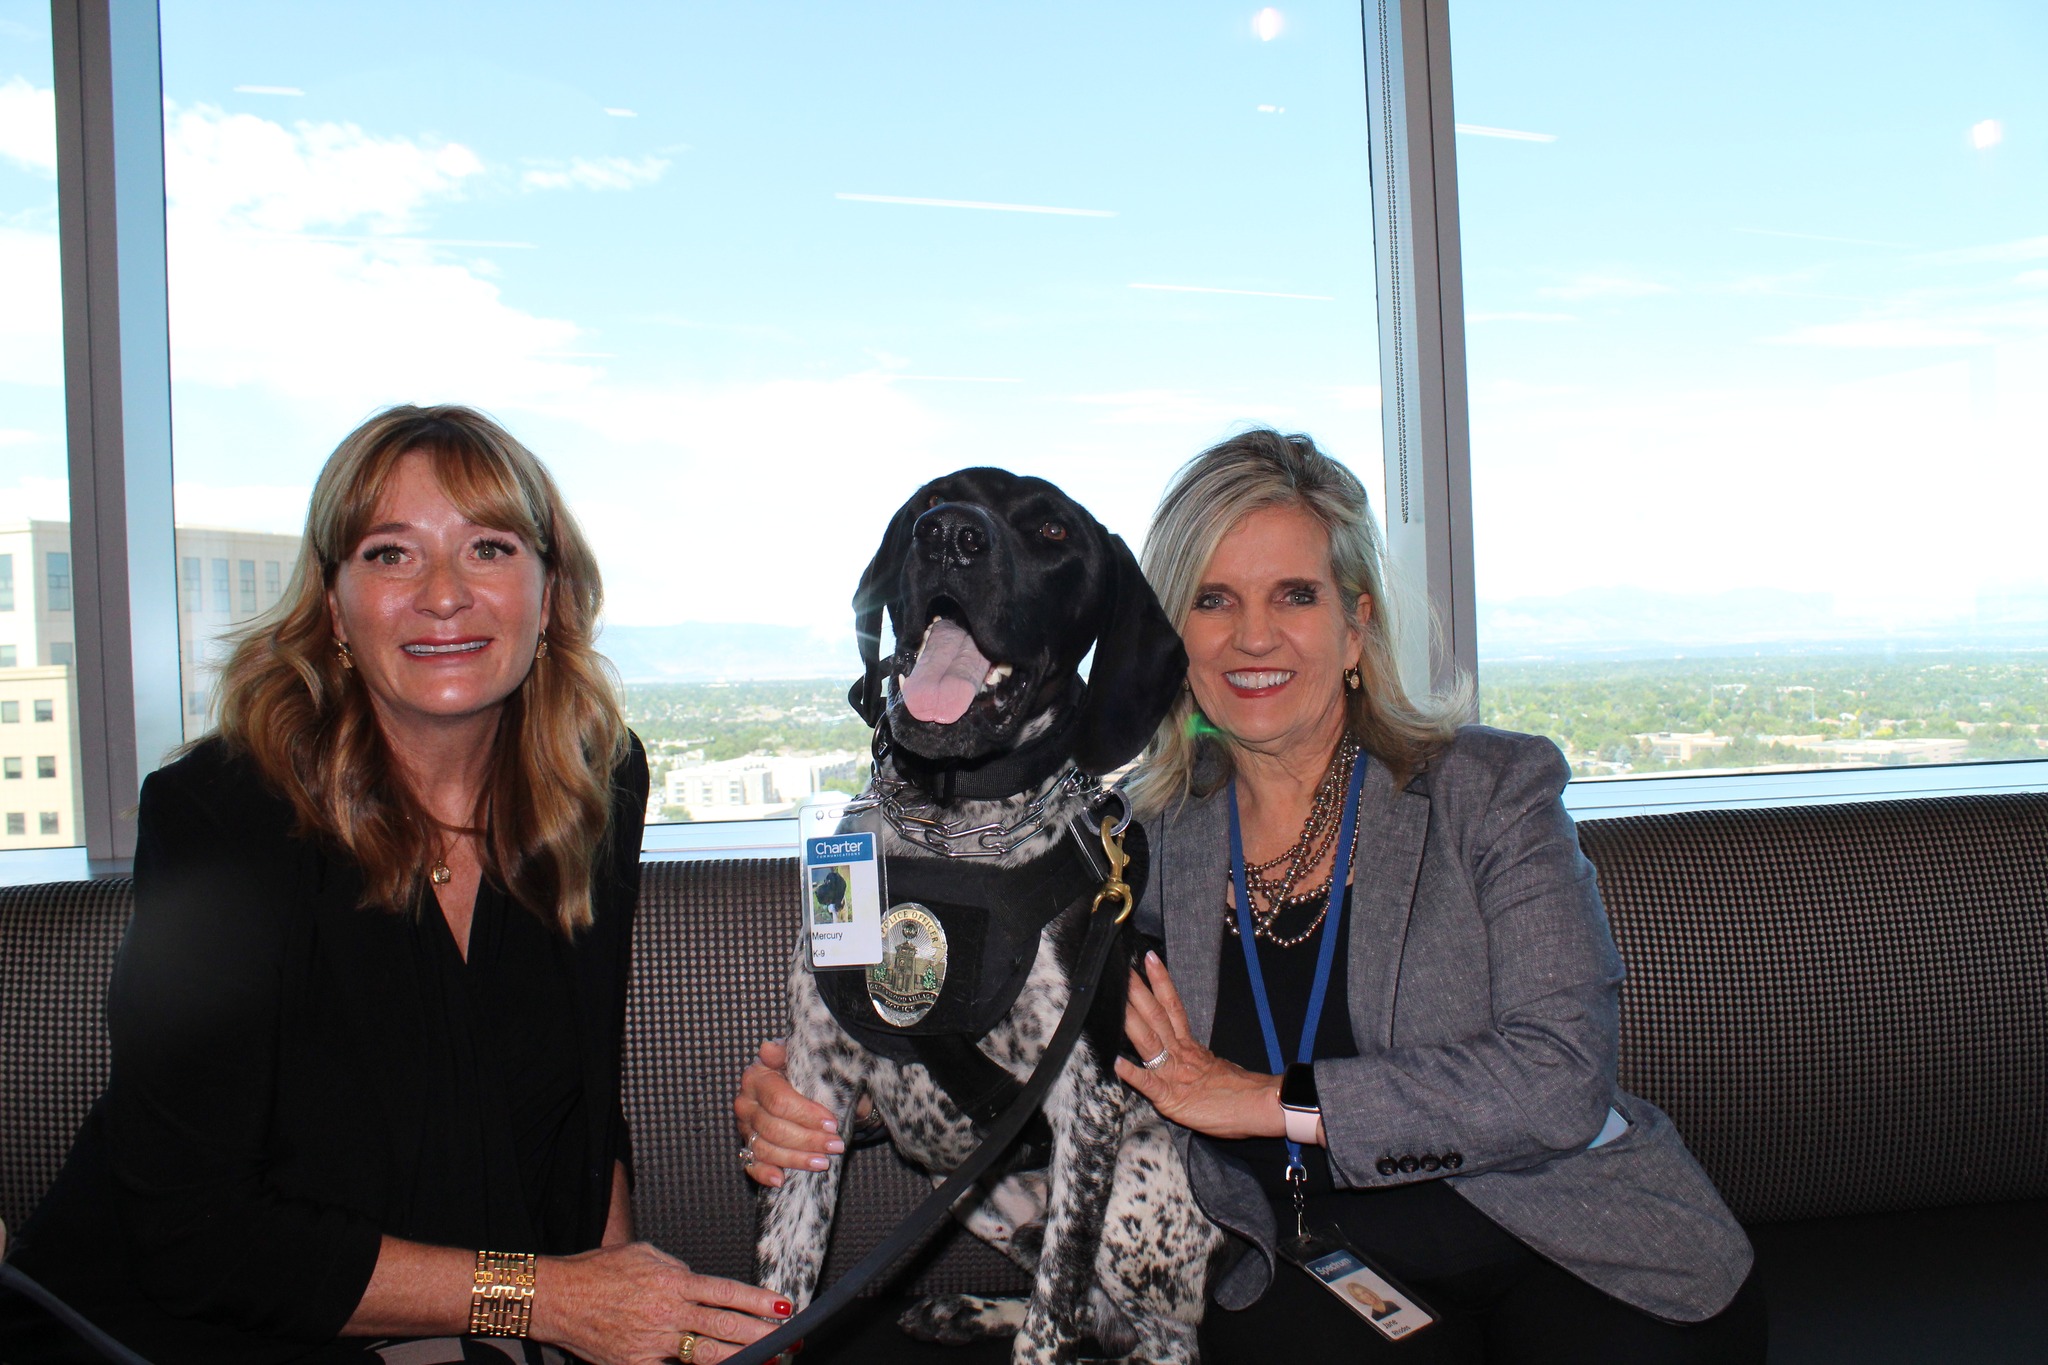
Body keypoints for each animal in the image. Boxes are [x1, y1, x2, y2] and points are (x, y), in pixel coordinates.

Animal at [761, 466, 1220, 1358]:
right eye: (929, 499)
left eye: (1053, 531)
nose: (948, 534)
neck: (953, 832)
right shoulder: (817, 1083)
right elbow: (779, 1288)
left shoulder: (1086, 1104)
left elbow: (1052, 1314)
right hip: (968, 1190)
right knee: (1088, 1310)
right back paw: (964, 1308)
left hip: (1133, 1199)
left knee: (1135, 1325)